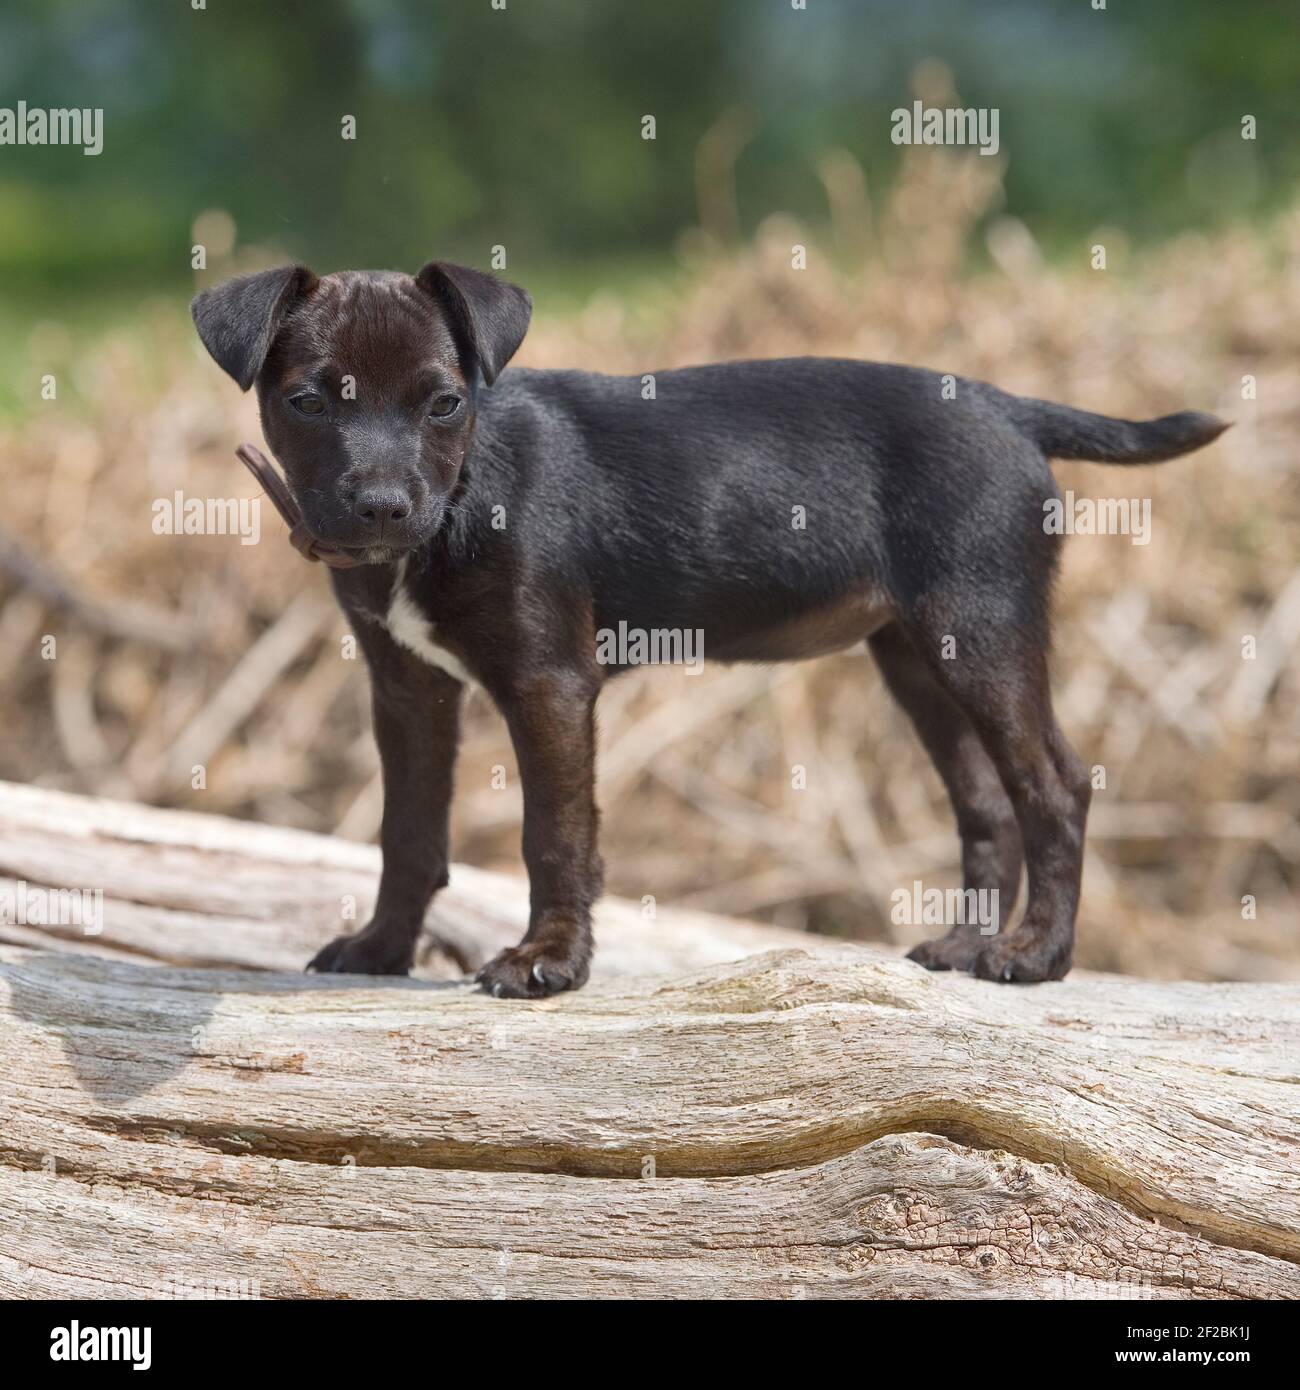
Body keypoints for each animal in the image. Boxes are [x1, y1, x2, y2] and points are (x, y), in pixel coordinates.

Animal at [193, 261, 1229, 995]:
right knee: (985, 803)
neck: (465, 494)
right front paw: (381, 947)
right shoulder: (408, 690)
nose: (381, 507)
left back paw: (1036, 953)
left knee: (1053, 785)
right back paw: (970, 943)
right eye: (308, 401)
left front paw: (549, 961)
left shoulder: (549, 685)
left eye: (445, 402)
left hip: (982, 633)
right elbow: (407, 832)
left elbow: (554, 833)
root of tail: (1007, 407)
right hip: (916, 657)